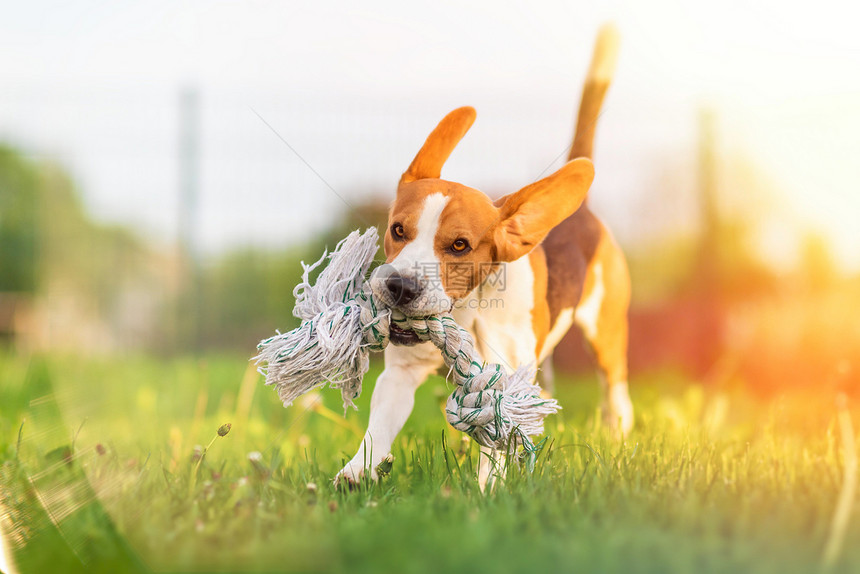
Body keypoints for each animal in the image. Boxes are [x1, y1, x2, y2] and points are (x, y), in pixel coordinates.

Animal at [338, 24, 632, 488]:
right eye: (398, 230)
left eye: (460, 245)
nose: (399, 286)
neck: (463, 312)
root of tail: (582, 212)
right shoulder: (400, 374)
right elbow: (379, 427)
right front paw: (356, 472)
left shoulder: (499, 382)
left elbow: (494, 440)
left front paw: (487, 491)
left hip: (607, 337)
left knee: (616, 395)